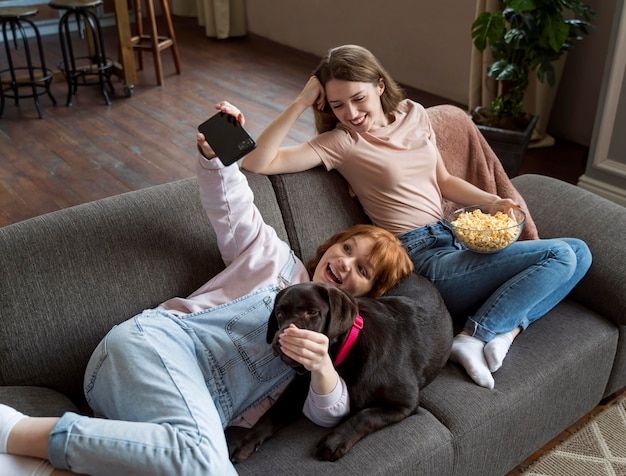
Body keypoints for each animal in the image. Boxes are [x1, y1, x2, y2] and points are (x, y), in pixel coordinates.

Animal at [228, 274, 448, 462]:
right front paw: (246, 440)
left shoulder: (406, 402)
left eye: (312, 312)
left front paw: (336, 440)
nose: (280, 341)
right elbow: (274, 410)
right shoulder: (300, 385)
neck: (343, 354)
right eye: (280, 314)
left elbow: (366, 416)